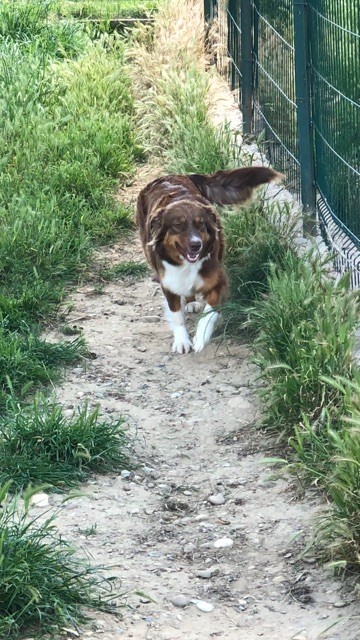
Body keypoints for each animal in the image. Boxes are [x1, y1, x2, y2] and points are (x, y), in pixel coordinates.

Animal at [138, 168, 282, 352]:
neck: (187, 265)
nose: (196, 245)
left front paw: (201, 337)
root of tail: (174, 175)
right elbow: (177, 316)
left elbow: (209, 314)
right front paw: (182, 341)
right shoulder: (169, 283)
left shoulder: (218, 282)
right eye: (177, 226)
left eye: (200, 224)